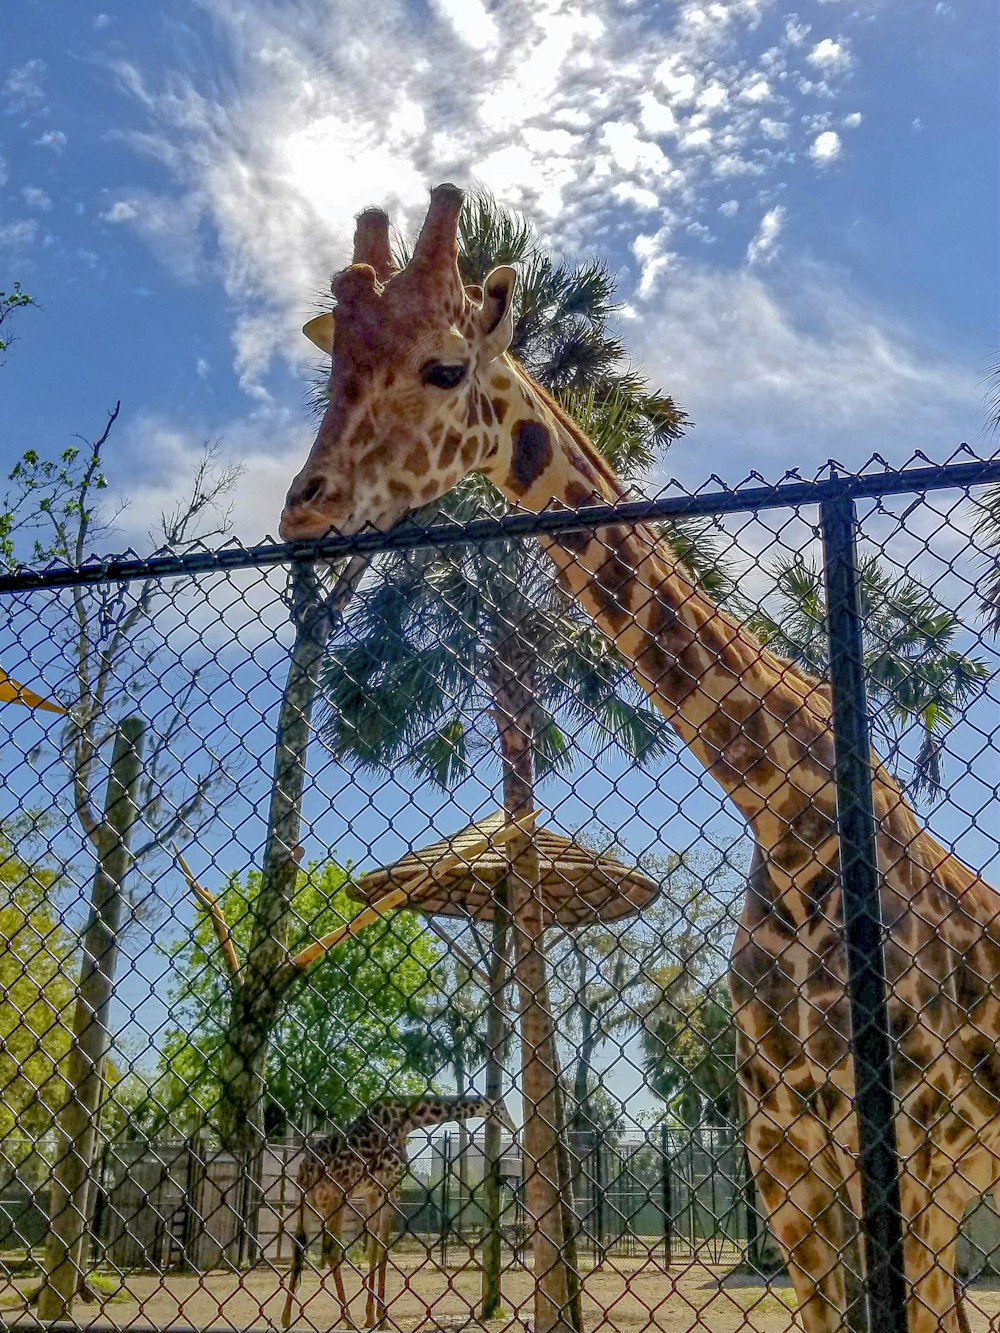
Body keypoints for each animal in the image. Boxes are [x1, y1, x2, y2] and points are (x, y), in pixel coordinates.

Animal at [280, 1093, 509, 1333]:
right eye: (502, 1108)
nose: (511, 1126)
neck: (408, 1119)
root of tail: (305, 1173)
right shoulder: (391, 1186)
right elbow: (383, 1249)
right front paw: (383, 1319)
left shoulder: (373, 1192)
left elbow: (373, 1248)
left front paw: (371, 1316)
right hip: (336, 1198)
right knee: (330, 1248)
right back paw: (347, 1319)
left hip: (306, 1202)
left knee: (299, 1246)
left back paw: (287, 1317)